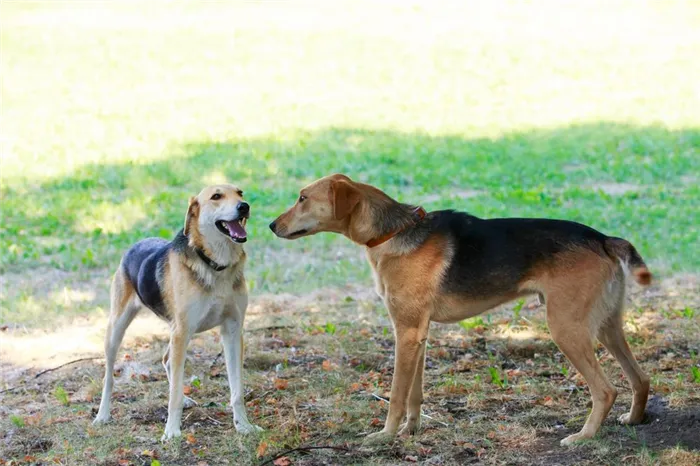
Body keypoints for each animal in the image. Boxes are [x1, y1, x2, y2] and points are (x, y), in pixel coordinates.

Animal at [93, 184, 262, 438]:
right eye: (216, 196)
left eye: (240, 193)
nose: (245, 206)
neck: (216, 265)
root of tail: (135, 245)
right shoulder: (182, 331)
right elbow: (172, 395)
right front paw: (171, 431)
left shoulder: (232, 330)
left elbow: (237, 390)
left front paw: (244, 425)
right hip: (118, 329)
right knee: (108, 377)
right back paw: (102, 414)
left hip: (178, 332)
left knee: (166, 360)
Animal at [270, 174, 652, 444]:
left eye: (303, 198)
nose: (271, 225)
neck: (392, 232)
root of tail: (602, 238)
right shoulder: (418, 334)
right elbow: (414, 394)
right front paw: (411, 431)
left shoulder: (405, 333)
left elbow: (396, 395)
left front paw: (385, 436)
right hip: (607, 326)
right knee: (641, 378)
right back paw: (634, 419)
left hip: (566, 328)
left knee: (605, 390)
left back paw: (583, 436)